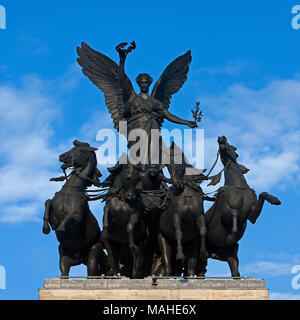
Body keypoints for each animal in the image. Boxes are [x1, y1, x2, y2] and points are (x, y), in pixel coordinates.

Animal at [41, 140, 107, 278]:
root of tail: (79, 258)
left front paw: (61, 227)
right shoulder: (53, 218)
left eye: (81, 150)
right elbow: (47, 202)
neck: (72, 190)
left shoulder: (77, 219)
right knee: (64, 272)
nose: (62, 156)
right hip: (64, 258)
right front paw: (45, 229)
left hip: (93, 257)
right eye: (72, 148)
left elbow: (70, 217)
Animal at [157, 142, 209, 276]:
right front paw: (180, 255)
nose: (176, 183)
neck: (187, 196)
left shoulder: (199, 216)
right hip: (163, 239)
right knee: (167, 266)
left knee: (190, 269)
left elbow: (203, 231)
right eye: (167, 164)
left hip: (191, 245)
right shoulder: (177, 216)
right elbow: (179, 232)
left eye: (177, 159)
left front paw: (203, 253)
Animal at [202, 136, 282, 278]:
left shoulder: (252, 216)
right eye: (219, 150)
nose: (221, 138)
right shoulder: (225, 214)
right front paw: (231, 237)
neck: (238, 186)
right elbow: (234, 213)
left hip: (230, 256)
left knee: (235, 272)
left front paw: (275, 200)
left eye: (232, 146)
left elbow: (263, 194)